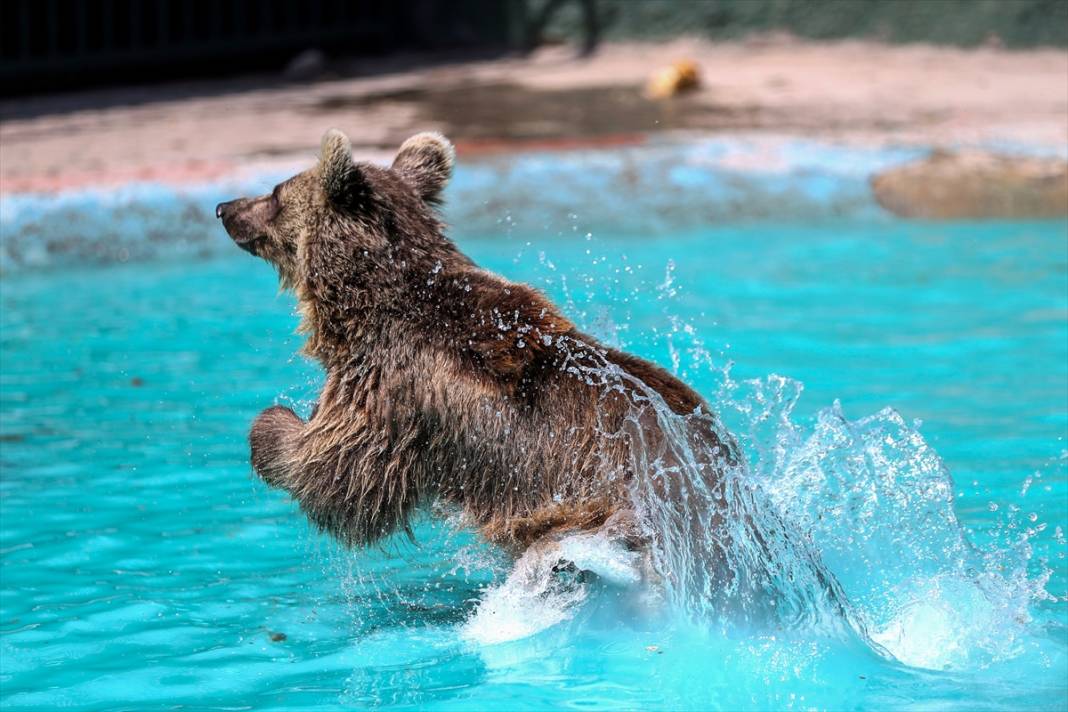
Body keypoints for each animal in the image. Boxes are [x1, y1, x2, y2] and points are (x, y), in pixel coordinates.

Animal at [216, 130, 734, 559]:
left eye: (275, 193)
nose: (224, 209)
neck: (371, 304)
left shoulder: (391, 390)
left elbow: (341, 474)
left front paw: (271, 426)